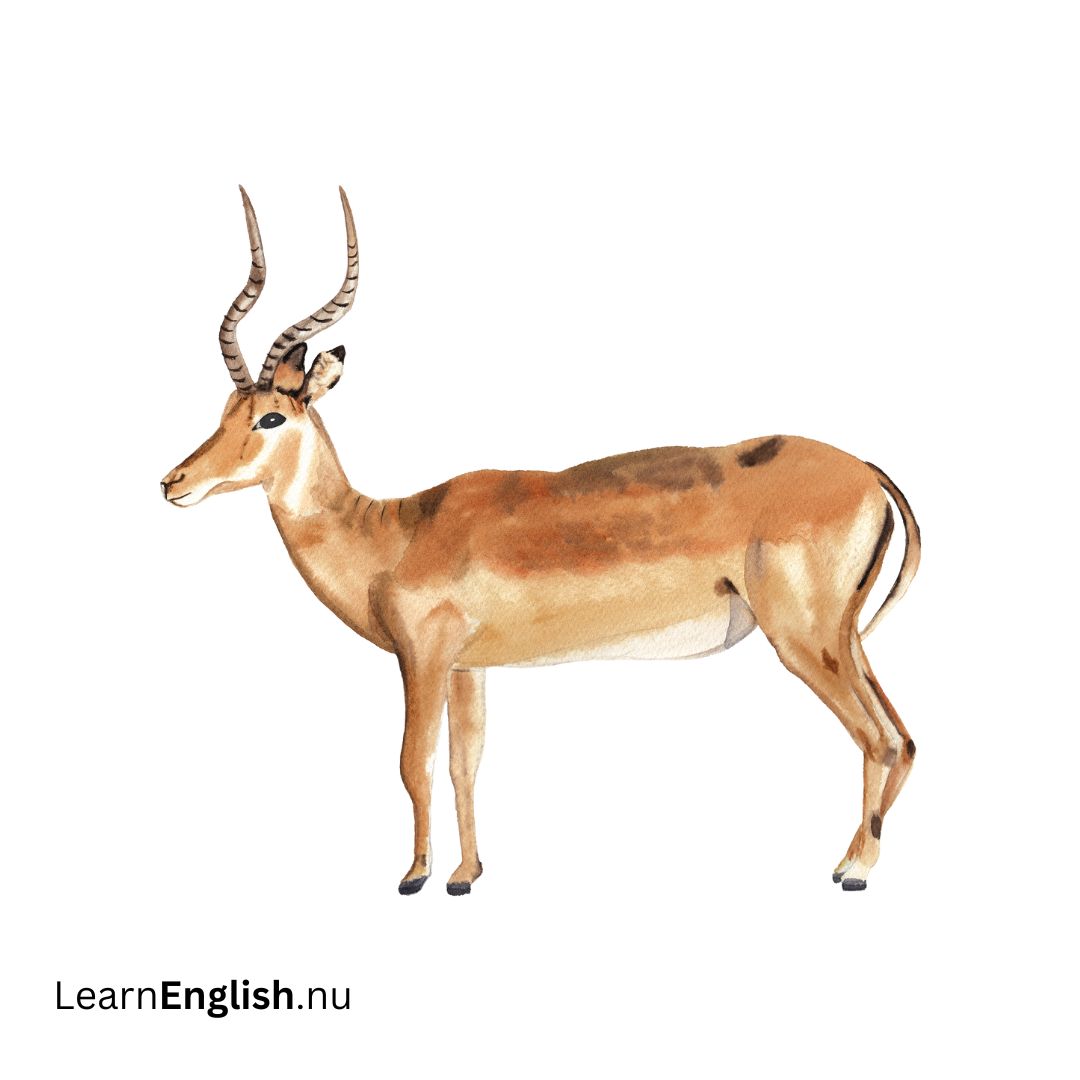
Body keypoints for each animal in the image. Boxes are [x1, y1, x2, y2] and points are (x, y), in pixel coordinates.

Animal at [162, 187, 921, 895]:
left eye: (270, 418)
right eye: (224, 410)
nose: (173, 482)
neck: (392, 533)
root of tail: (868, 471)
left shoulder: (422, 659)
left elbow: (413, 761)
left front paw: (415, 875)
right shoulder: (467, 668)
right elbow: (465, 764)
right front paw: (465, 874)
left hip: (804, 640)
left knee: (878, 740)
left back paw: (853, 869)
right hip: (843, 637)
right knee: (903, 738)